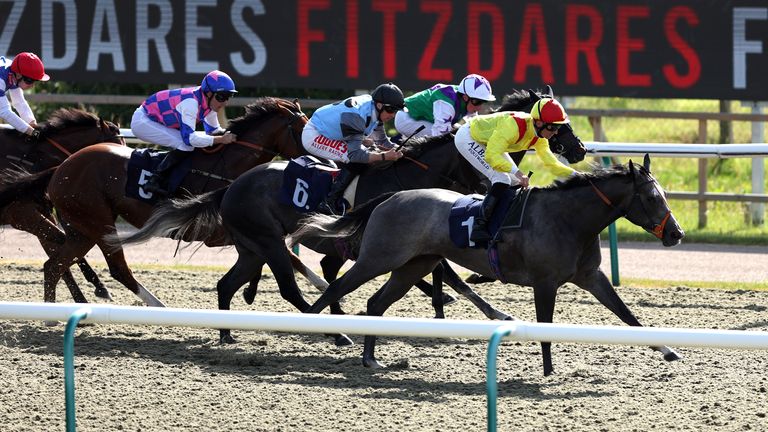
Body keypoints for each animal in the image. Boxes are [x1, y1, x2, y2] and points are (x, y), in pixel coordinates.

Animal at [292, 155, 684, 374]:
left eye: (664, 194)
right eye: (652, 197)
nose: (676, 233)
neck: (569, 219)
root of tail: (392, 196)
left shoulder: (591, 276)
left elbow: (628, 316)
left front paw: (669, 351)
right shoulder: (545, 282)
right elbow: (545, 328)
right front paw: (548, 372)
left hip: (414, 265)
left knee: (375, 304)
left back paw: (370, 359)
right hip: (378, 258)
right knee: (337, 288)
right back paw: (317, 330)